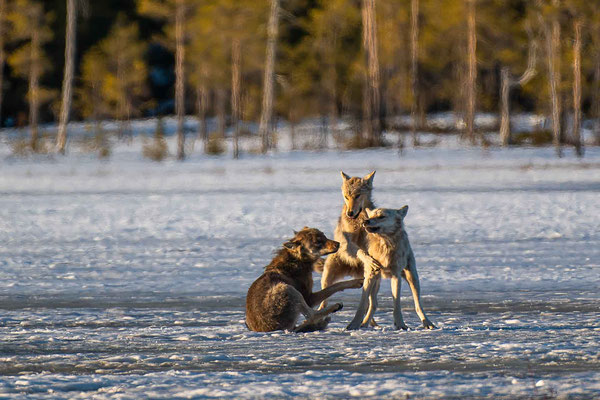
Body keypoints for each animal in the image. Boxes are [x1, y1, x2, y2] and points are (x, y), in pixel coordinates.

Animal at [316, 170, 382, 326]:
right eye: (346, 196)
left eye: (357, 195)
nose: (350, 213)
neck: (359, 220)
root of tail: (352, 271)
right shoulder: (348, 244)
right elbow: (360, 250)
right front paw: (368, 258)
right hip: (327, 278)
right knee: (324, 300)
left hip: (370, 279)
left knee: (373, 303)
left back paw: (370, 323)